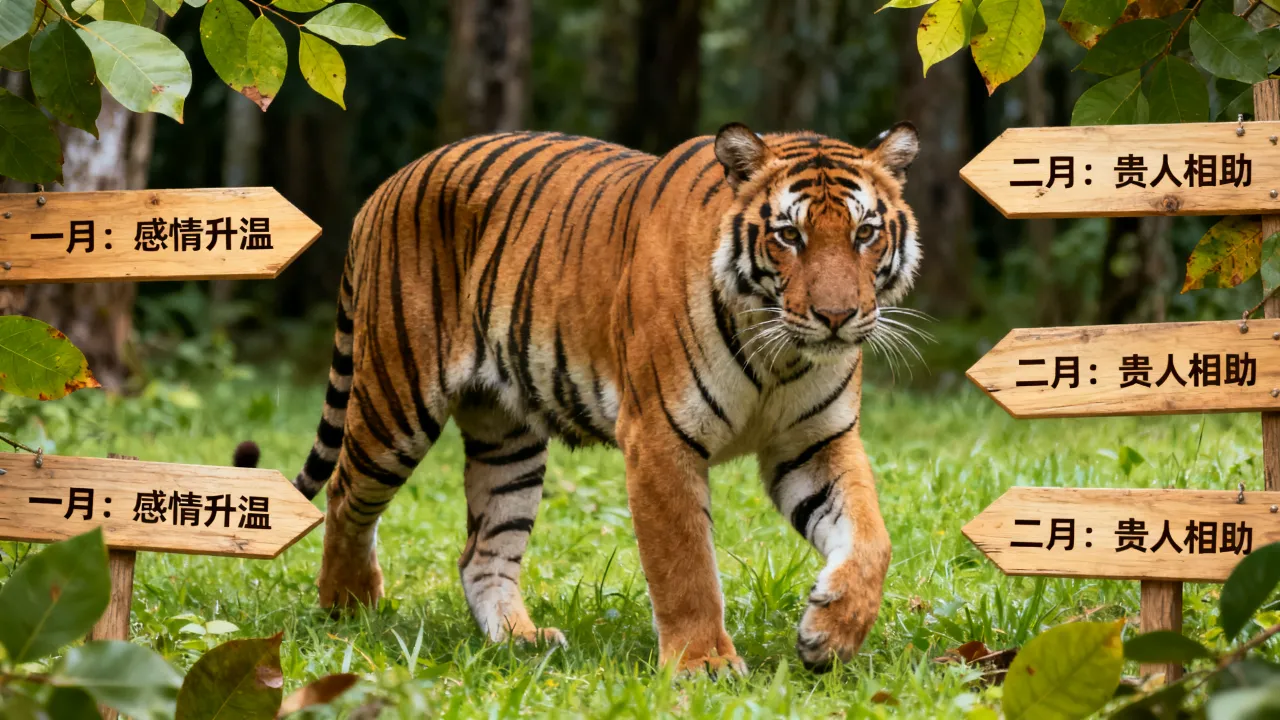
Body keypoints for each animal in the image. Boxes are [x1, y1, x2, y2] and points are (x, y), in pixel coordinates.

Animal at [285, 122, 921, 674]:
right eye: (790, 235)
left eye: (865, 233)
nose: (837, 317)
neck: (780, 357)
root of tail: (388, 185)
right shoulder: (660, 437)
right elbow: (686, 564)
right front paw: (703, 665)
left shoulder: (815, 442)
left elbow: (873, 540)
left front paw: (830, 635)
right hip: (396, 402)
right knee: (345, 493)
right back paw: (348, 607)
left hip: (507, 441)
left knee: (482, 551)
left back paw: (519, 640)